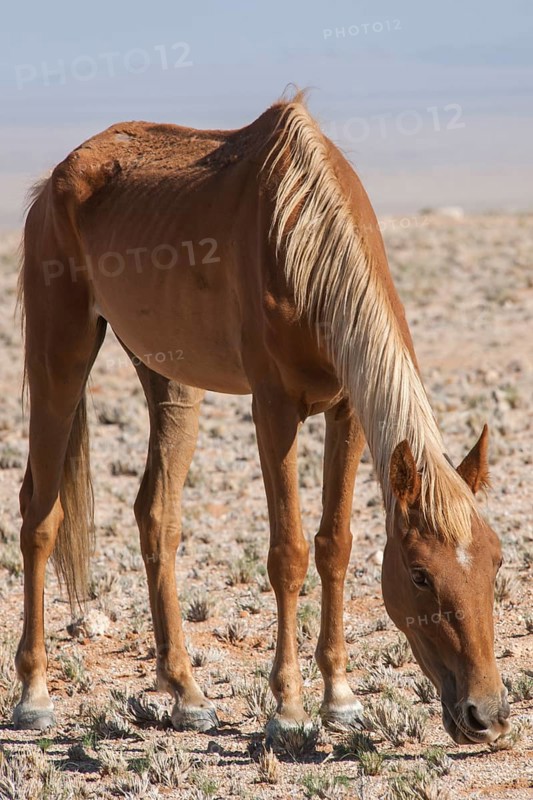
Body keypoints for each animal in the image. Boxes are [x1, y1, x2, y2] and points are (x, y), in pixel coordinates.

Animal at [14, 93, 510, 745]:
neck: (303, 237)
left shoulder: (347, 411)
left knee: (157, 516)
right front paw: (289, 708)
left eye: (497, 559)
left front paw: (340, 698)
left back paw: (185, 692)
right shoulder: (273, 409)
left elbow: (334, 545)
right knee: (40, 515)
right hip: (60, 359)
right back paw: (35, 694)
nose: (488, 715)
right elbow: (288, 553)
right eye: (420, 574)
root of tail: (55, 180)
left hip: (171, 377)